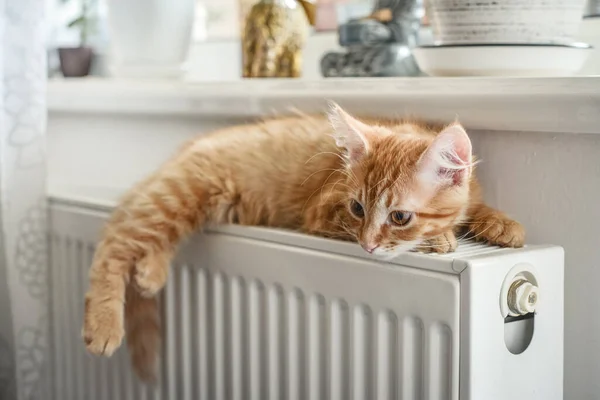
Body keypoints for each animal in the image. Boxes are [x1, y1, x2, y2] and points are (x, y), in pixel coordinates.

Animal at [82, 103, 524, 382]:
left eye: (398, 216)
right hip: (180, 194)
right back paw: (103, 324)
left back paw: (150, 272)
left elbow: (477, 207)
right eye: (357, 209)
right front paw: (441, 239)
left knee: (147, 233)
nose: (367, 246)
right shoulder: (322, 212)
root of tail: (191, 147)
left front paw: (502, 224)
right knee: (115, 240)